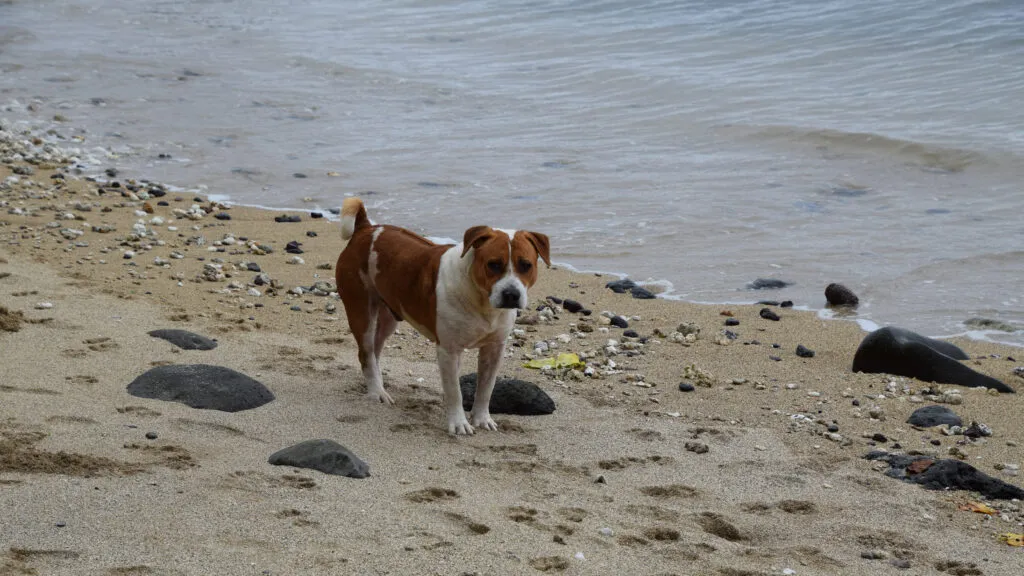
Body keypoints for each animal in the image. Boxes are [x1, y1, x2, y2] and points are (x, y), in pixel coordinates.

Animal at [335, 194, 548, 432]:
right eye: (493, 264)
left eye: (526, 265)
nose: (511, 294)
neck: (482, 302)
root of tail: (366, 229)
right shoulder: (448, 350)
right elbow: (454, 391)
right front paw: (459, 423)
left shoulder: (494, 349)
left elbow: (486, 388)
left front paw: (482, 418)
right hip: (361, 311)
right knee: (366, 352)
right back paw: (377, 392)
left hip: (388, 318)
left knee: (375, 350)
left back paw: (378, 382)